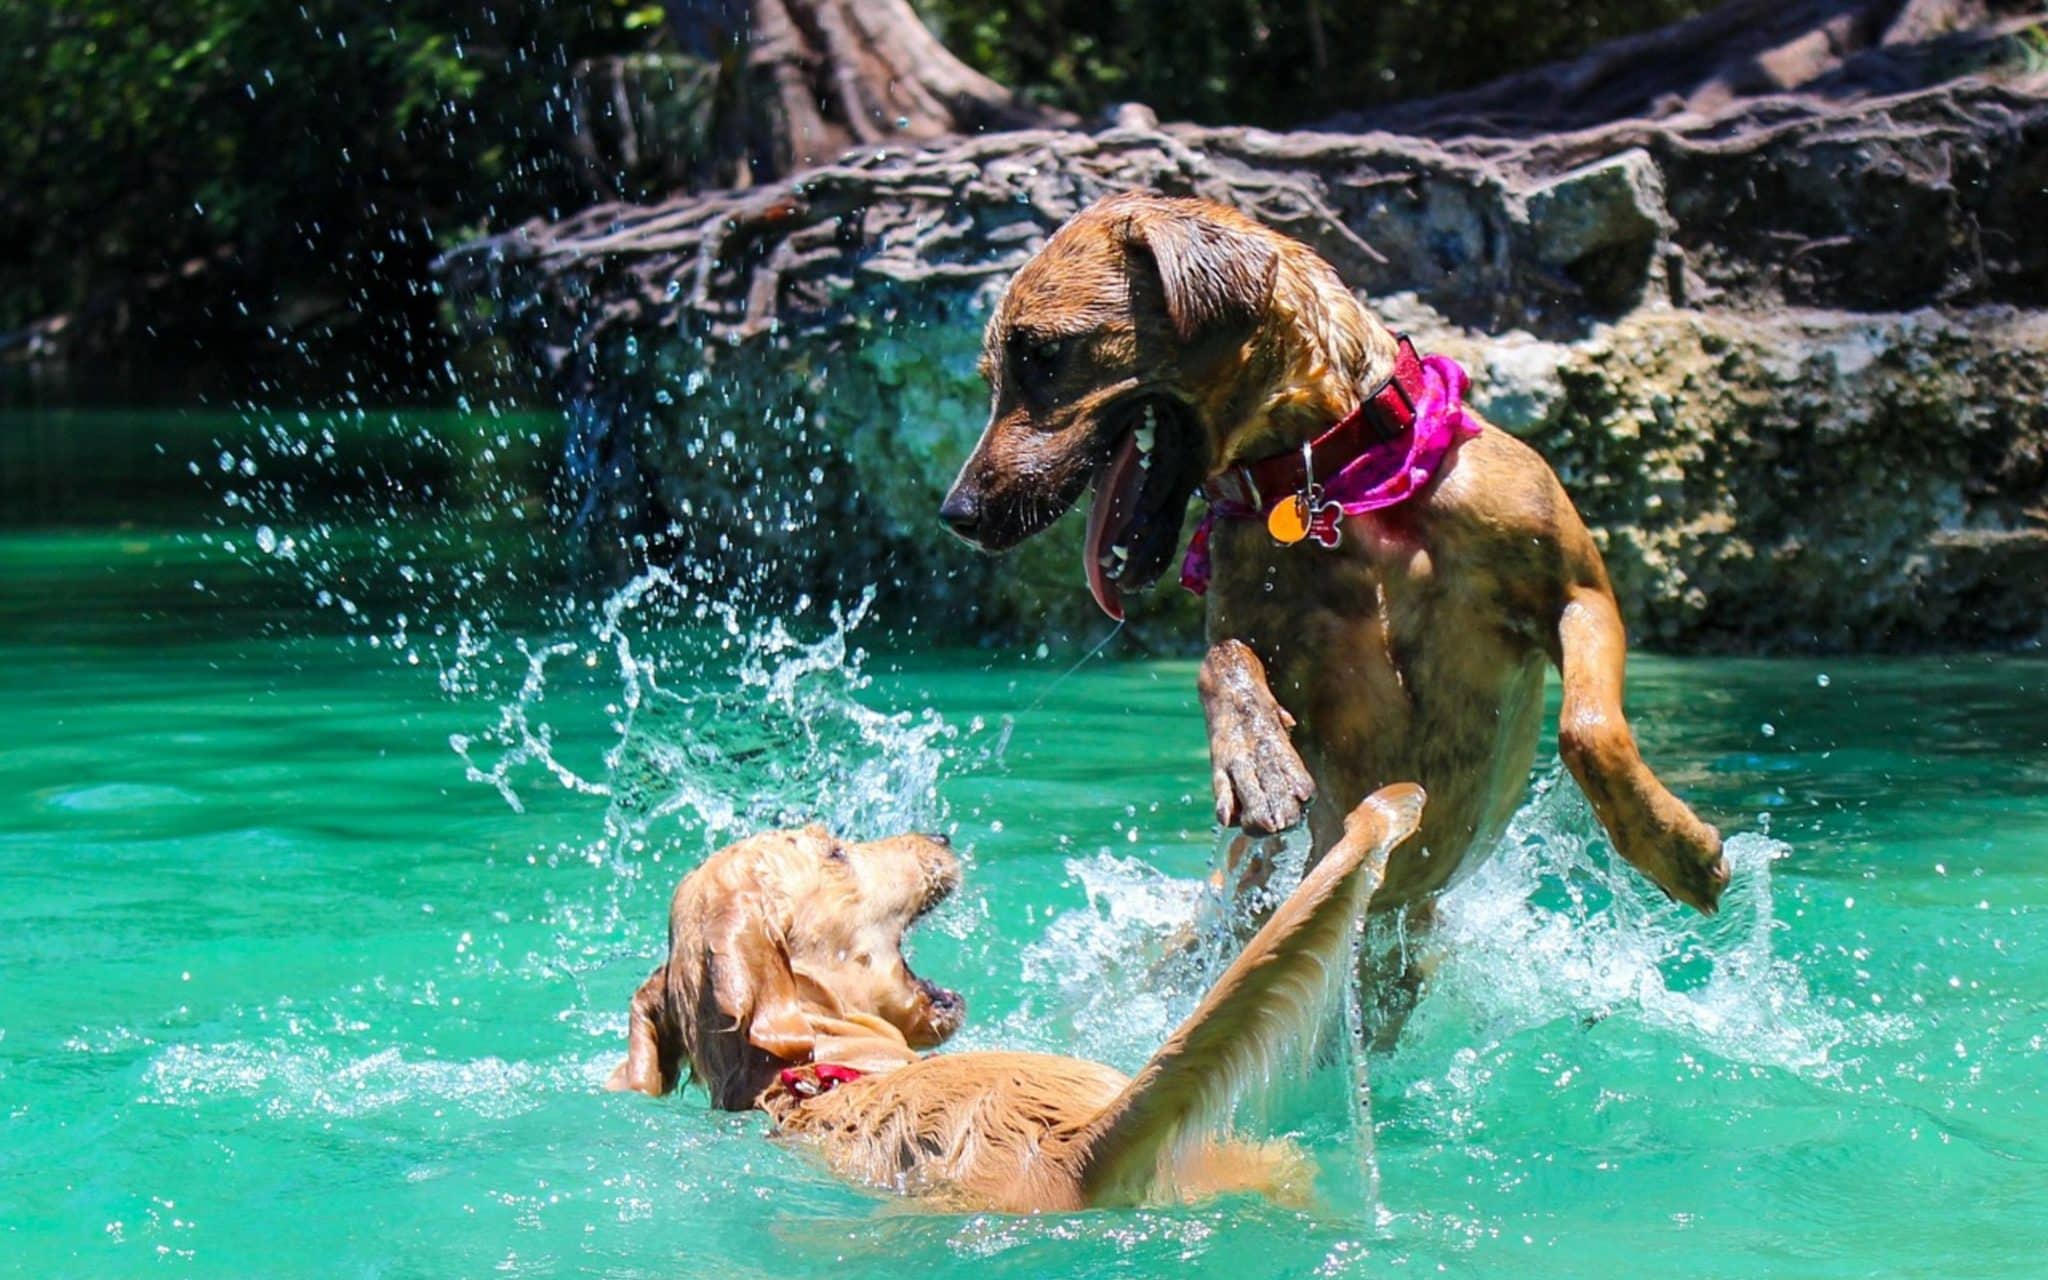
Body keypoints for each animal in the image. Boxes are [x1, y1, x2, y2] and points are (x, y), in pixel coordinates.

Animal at [937, 192, 1728, 917]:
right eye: (995, 372)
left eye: (1043, 353)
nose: (958, 515)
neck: (1338, 477)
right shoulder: (1286, 661)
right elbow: (1221, 658)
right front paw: (1255, 760)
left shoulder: (1578, 593)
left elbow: (1589, 727)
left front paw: (1675, 846)